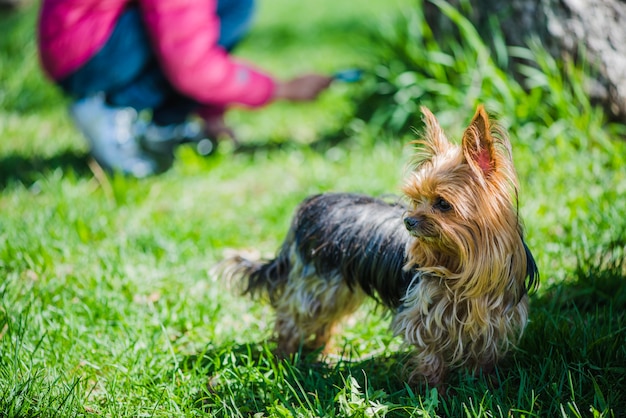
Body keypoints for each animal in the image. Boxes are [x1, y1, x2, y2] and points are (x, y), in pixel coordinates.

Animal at [219, 106, 536, 386]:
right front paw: (431, 388)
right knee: (293, 317)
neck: (459, 262)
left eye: (443, 204)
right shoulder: (423, 316)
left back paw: (324, 355)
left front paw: (482, 383)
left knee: (323, 323)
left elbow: (483, 354)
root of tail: (308, 207)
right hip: (318, 287)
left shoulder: (492, 320)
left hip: (338, 290)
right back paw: (286, 356)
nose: (408, 221)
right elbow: (430, 353)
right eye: (415, 199)